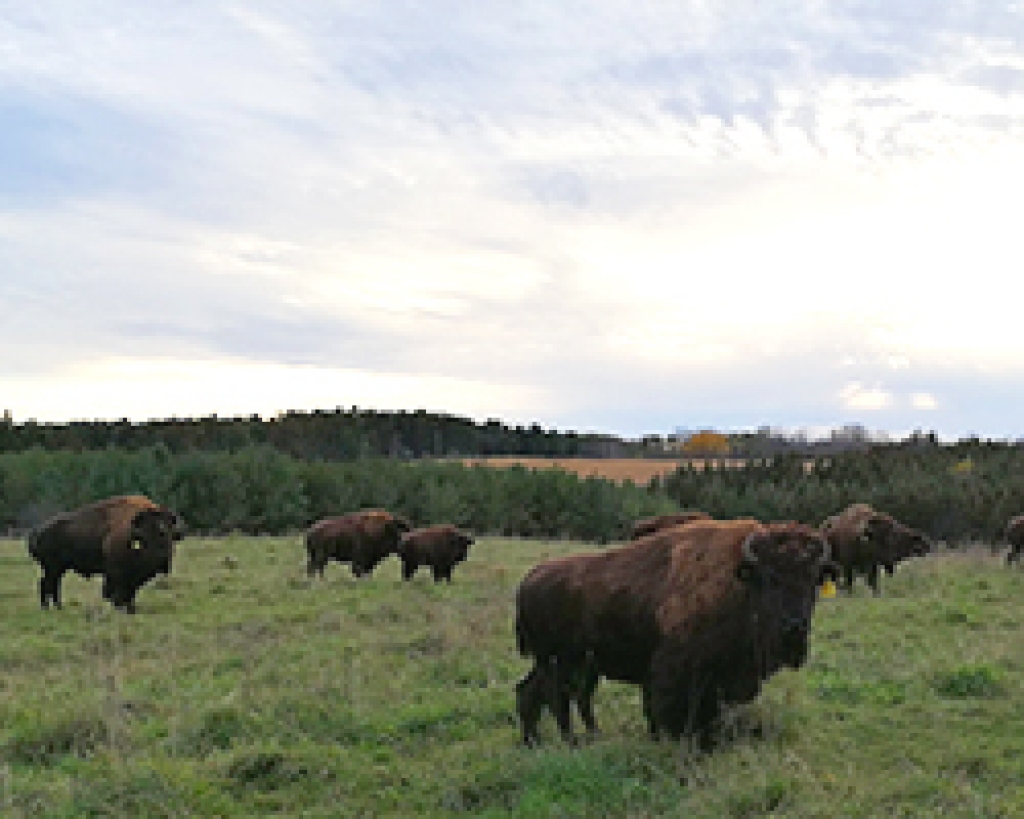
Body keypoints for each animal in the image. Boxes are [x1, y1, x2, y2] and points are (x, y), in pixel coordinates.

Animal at [27, 494, 181, 613]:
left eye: (169, 537)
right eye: (145, 539)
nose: (162, 559)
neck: (132, 535)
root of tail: (37, 531)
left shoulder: (132, 578)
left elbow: (130, 593)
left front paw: (131, 609)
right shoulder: (116, 573)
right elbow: (115, 593)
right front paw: (121, 608)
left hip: (58, 568)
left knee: (53, 584)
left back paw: (58, 607)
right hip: (52, 567)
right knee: (46, 583)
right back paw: (48, 608)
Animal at [514, 518, 833, 746]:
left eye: (814, 579)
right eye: (770, 578)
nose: (794, 627)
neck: (740, 584)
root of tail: (529, 580)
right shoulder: (678, 674)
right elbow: (673, 714)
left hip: (567, 664)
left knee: (532, 691)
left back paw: (538, 741)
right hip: (560, 663)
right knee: (557, 699)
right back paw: (570, 742)